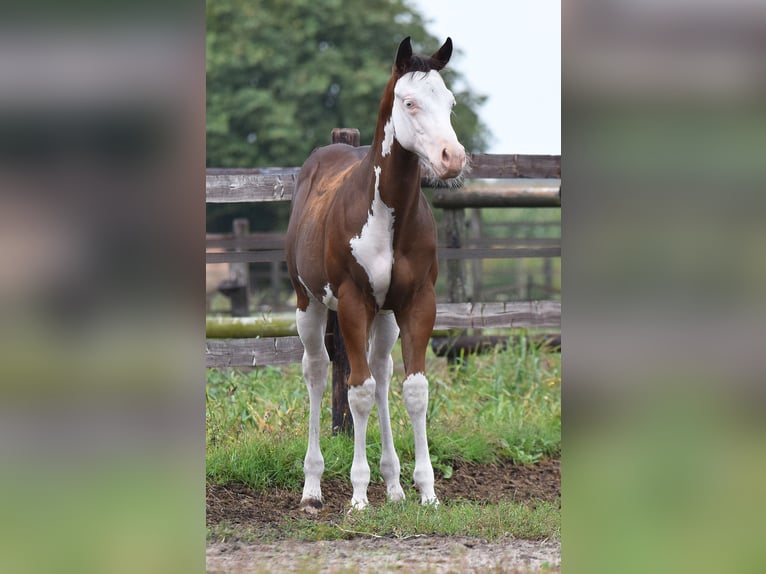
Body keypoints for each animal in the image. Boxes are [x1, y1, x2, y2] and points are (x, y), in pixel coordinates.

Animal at [285, 36, 466, 512]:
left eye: (450, 102)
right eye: (410, 102)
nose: (453, 158)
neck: (389, 214)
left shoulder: (417, 302)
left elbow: (413, 389)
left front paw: (426, 492)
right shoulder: (352, 302)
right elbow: (358, 391)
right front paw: (359, 495)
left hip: (384, 315)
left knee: (383, 373)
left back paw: (395, 485)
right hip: (308, 304)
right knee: (317, 371)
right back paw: (313, 487)